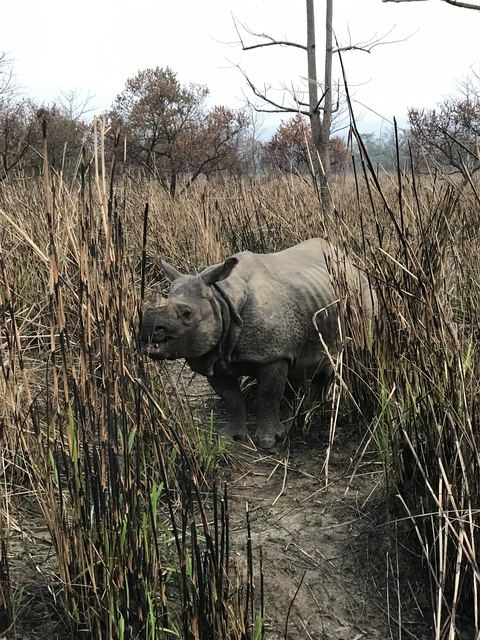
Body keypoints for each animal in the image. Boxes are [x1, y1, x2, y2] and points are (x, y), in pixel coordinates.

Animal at [140, 238, 375, 449]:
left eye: (187, 314)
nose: (148, 330)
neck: (221, 300)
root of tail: (351, 261)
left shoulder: (274, 354)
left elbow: (268, 396)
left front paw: (269, 441)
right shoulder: (213, 356)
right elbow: (231, 398)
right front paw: (230, 438)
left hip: (362, 293)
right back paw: (313, 407)